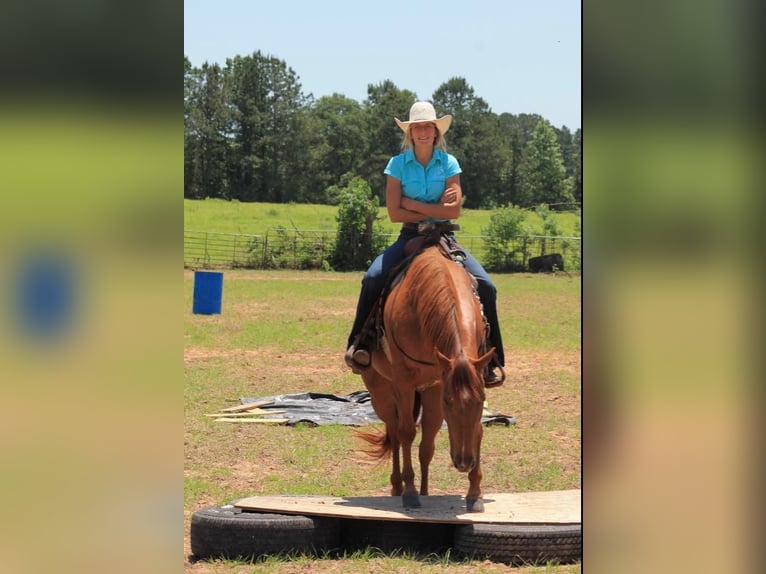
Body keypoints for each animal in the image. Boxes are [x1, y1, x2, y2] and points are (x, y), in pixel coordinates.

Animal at [356, 245, 496, 516]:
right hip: (382, 394)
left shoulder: (442, 383)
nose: (464, 462)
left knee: (425, 445)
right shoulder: (404, 384)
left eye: (481, 401)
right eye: (449, 402)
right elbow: (407, 433)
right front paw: (410, 493)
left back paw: (425, 491)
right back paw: (398, 487)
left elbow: (476, 431)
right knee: (396, 433)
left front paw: (475, 494)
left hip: (427, 393)